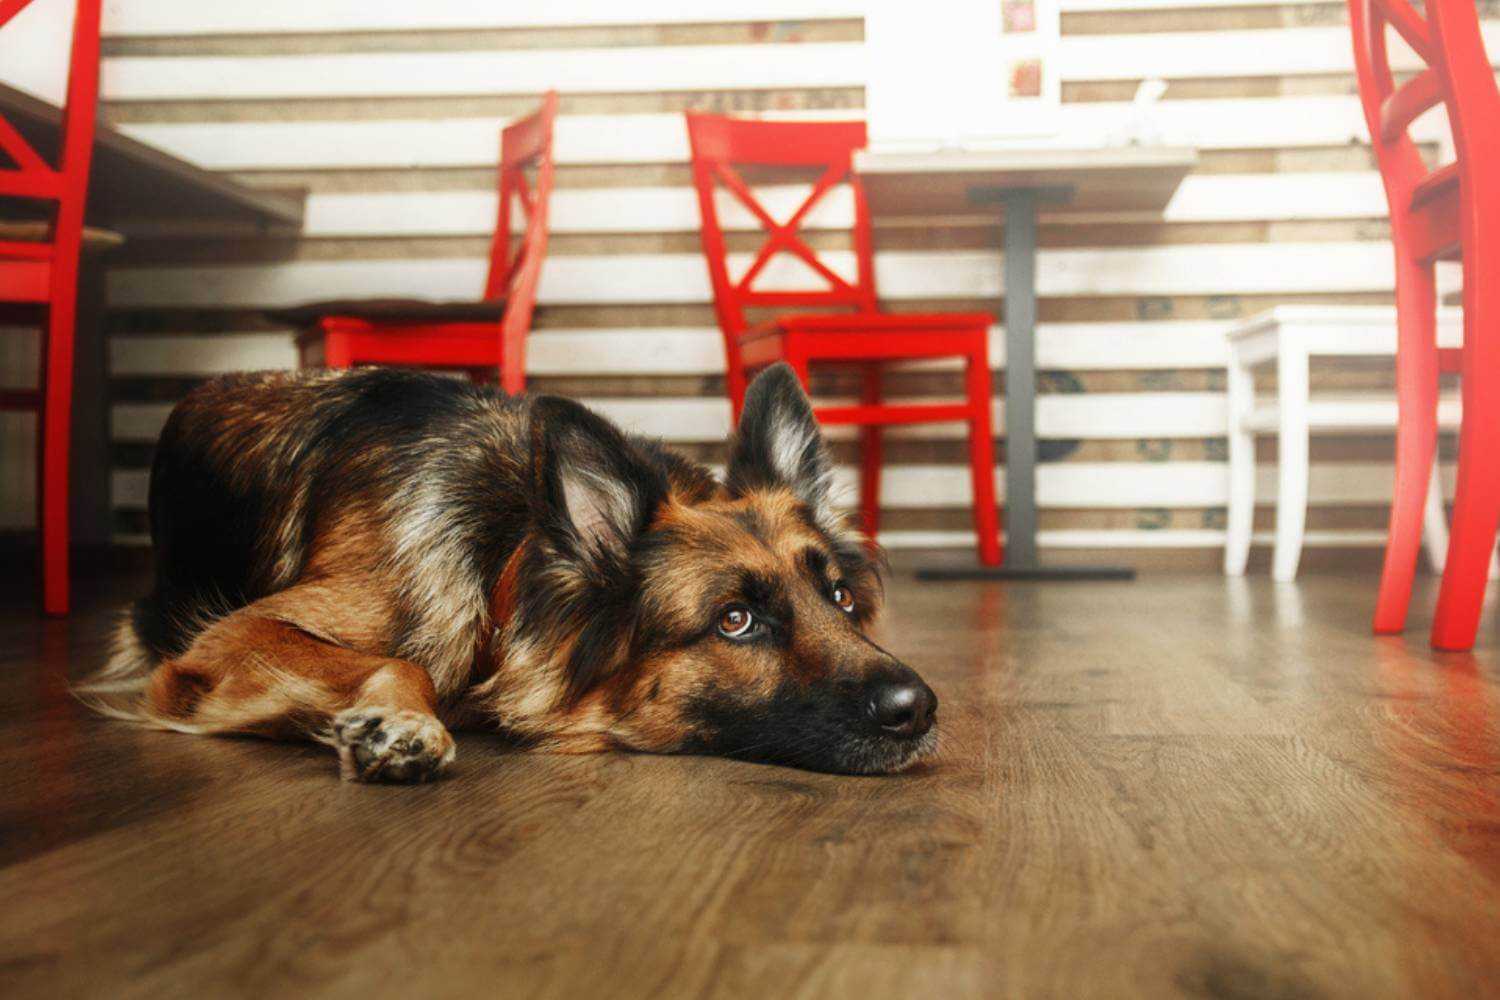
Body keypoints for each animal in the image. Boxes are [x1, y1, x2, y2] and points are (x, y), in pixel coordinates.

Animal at [79, 364, 936, 785]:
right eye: (735, 621)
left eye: (839, 599)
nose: (921, 710)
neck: (508, 558)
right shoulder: (222, 641)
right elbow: (400, 661)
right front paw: (402, 724)